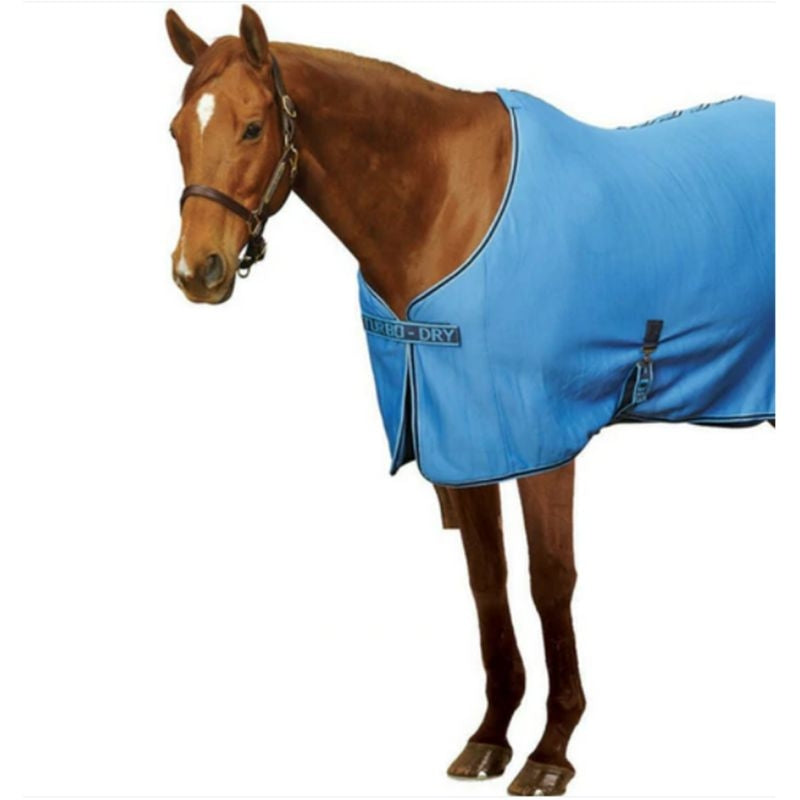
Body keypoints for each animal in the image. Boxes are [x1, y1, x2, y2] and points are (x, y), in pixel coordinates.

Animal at [165, 6, 774, 796]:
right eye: (176, 131)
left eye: (251, 127)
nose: (196, 270)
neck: (442, 205)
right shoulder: (464, 440)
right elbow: (488, 580)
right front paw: (490, 735)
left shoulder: (541, 439)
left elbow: (550, 581)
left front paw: (552, 748)